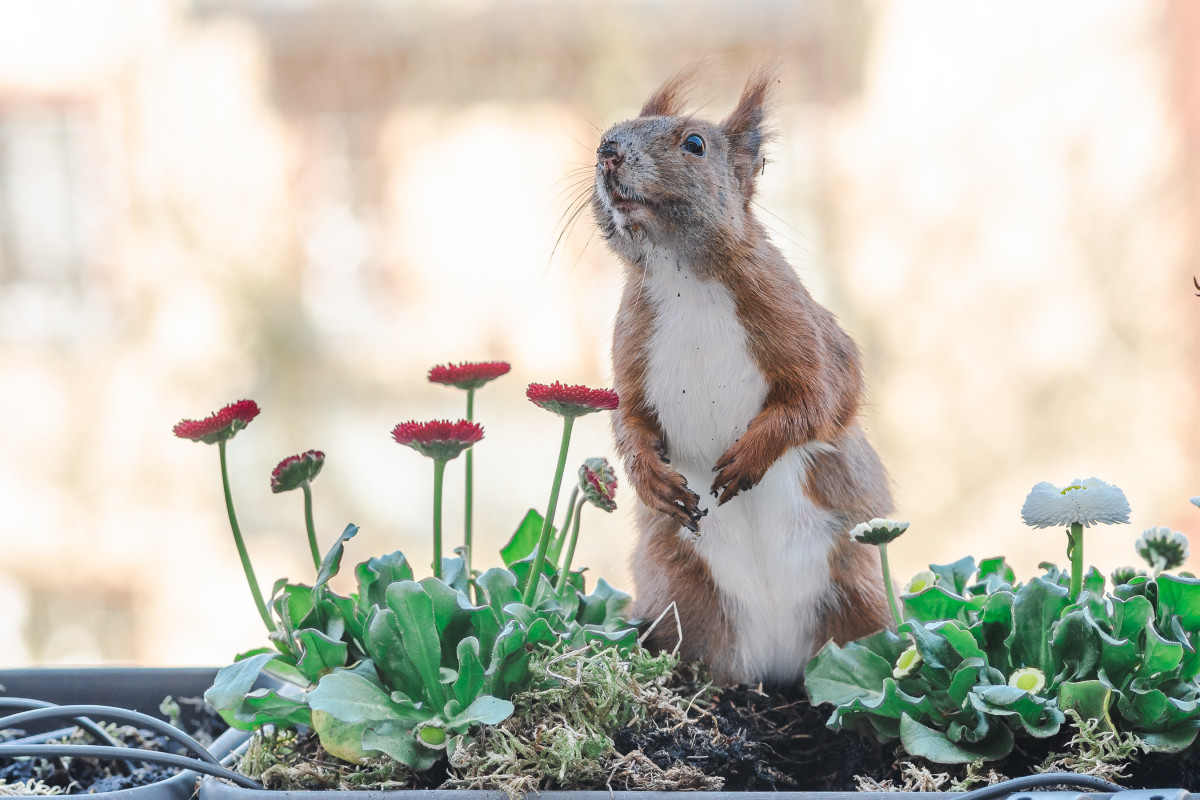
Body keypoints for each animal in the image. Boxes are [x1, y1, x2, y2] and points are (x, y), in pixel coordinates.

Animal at [595, 68, 897, 686]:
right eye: (609, 132)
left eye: (694, 144)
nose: (607, 151)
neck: (682, 274)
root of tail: (777, 666)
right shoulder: (629, 350)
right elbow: (628, 420)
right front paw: (650, 479)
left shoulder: (804, 330)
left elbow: (822, 397)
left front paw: (751, 456)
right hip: (679, 598)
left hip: (862, 595)